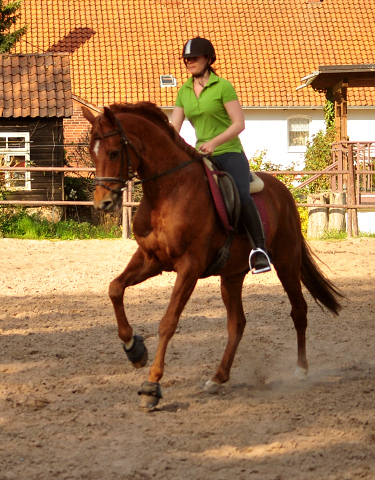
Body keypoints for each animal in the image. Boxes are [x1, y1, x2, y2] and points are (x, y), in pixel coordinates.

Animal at [81, 101, 344, 408]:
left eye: (113, 152)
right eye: (91, 152)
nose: (102, 203)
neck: (167, 192)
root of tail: (285, 193)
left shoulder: (189, 268)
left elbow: (168, 322)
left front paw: (151, 385)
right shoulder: (150, 259)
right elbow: (114, 288)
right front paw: (134, 349)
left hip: (287, 262)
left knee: (298, 311)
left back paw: (301, 370)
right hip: (232, 275)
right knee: (237, 324)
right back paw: (218, 378)